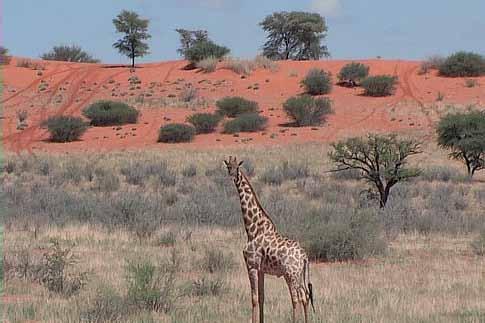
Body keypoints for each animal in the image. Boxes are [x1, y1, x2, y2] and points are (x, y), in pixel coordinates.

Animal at [223, 157, 314, 323]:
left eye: (237, 167)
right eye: (228, 167)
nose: (232, 177)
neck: (252, 229)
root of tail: (304, 256)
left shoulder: (251, 265)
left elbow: (253, 298)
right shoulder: (261, 270)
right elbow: (261, 297)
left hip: (290, 274)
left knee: (296, 298)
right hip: (299, 275)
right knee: (305, 296)